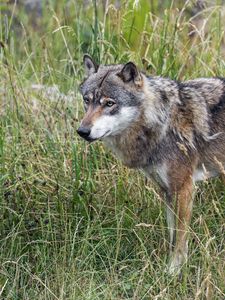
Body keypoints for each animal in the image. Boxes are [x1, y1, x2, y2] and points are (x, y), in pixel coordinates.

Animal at [77, 54, 225, 274]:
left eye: (109, 103)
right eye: (87, 101)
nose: (82, 131)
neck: (161, 123)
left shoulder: (184, 189)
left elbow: (180, 236)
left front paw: (174, 270)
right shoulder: (167, 191)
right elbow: (171, 234)